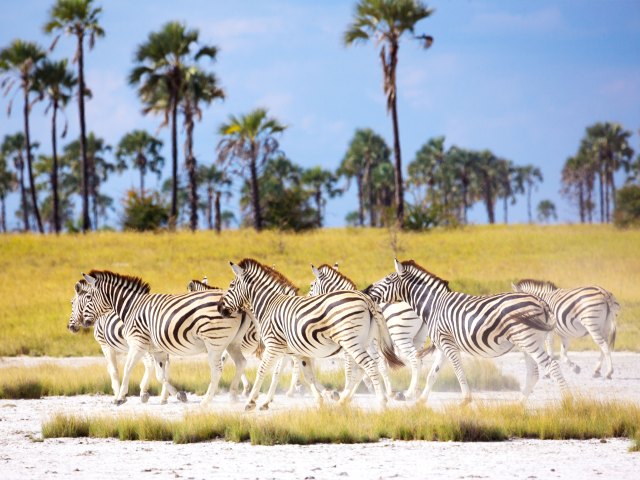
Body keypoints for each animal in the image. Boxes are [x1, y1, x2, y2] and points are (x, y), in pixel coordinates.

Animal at [76, 270, 251, 404]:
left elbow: (127, 368)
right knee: (241, 363)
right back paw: (234, 397)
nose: (83, 322)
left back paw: (206, 401)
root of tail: (238, 304)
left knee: (217, 370)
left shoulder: (137, 343)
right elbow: (161, 376)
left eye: (89, 298)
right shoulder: (157, 350)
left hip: (215, 342)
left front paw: (120, 398)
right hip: (233, 342)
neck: (132, 307)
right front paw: (178, 395)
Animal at [218, 256, 402, 410]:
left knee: (369, 366)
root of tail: (366, 299)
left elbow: (263, 371)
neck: (270, 304)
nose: (220, 308)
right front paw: (320, 399)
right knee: (364, 368)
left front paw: (251, 402)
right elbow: (307, 375)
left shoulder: (273, 345)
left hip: (351, 342)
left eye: (231, 285)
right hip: (362, 342)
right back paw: (345, 400)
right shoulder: (296, 351)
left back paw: (381, 402)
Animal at [308, 264, 428, 400]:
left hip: (401, 336)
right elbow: (365, 369)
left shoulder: (355, 345)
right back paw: (416, 392)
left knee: (415, 359)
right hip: (419, 338)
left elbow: (351, 369)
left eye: (311, 286)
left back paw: (409, 393)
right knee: (420, 361)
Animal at [364, 260, 568, 404]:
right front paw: (420, 401)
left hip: (528, 341)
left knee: (552, 366)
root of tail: (539, 301)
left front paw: (465, 400)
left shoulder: (448, 343)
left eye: (388, 279)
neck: (434, 305)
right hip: (528, 342)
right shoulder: (442, 345)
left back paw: (567, 402)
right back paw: (518, 405)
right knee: (533, 373)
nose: (366, 289)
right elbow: (432, 374)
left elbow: (458, 370)